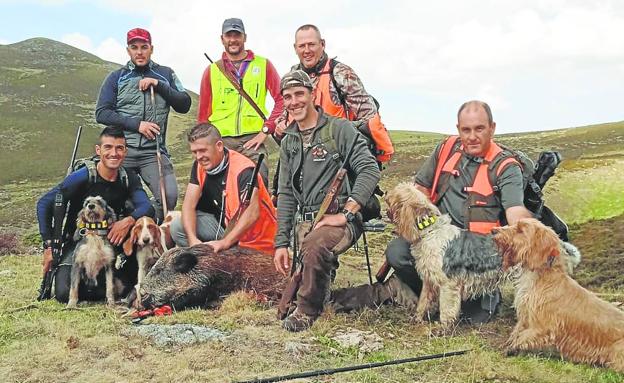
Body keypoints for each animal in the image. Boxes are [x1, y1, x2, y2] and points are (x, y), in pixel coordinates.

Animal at [492, 220, 624, 374]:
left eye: (520, 230)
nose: (493, 230)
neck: (541, 278)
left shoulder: (541, 326)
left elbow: (521, 338)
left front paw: (510, 350)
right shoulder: (525, 317)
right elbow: (516, 333)